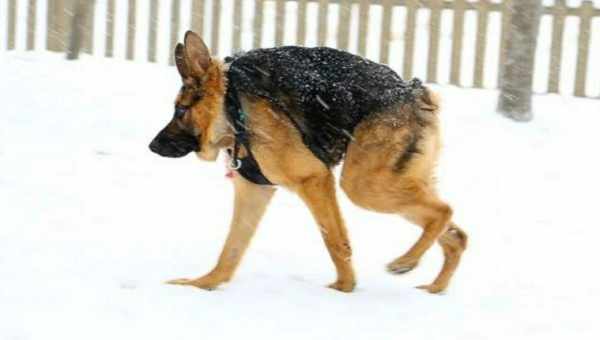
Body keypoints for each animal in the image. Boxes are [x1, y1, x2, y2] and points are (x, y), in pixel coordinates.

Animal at [148, 30, 466, 294]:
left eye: (180, 110)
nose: (152, 146)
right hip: (391, 183)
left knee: (443, 211)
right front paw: (204, 284)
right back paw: (434, 287)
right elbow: (231, 249)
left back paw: (406, 261)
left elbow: (334, 240)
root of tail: (414, 90)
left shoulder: (313, 179)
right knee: (456, 235)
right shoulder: (254, 191)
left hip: (364, 185)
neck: (232, 106)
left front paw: (343, 288)